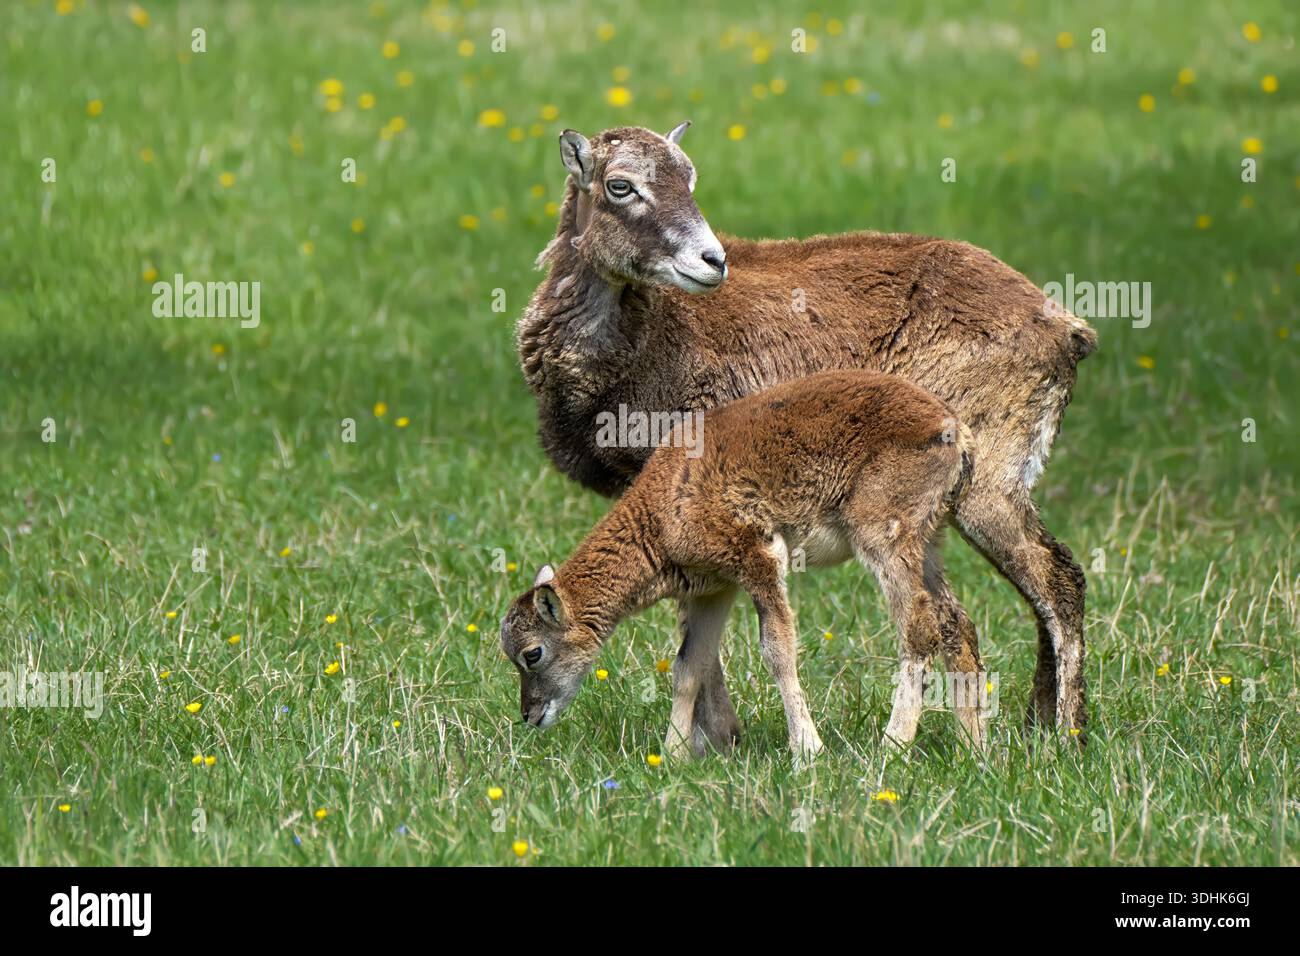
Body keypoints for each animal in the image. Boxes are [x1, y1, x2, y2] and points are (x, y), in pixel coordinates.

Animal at [500, 370, 985, 764]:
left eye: (532, 653)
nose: (529, 714)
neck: (662, 513)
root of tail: (954, 429)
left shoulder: (759, 556)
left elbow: (777, 649)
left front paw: (807, 749)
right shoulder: (713, 588)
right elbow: (689, 664)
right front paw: (672, 755)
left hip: (884, 533)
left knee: (919, 626)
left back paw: (892, 745)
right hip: (929, 540)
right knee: (956, 623)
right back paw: (972, 748)